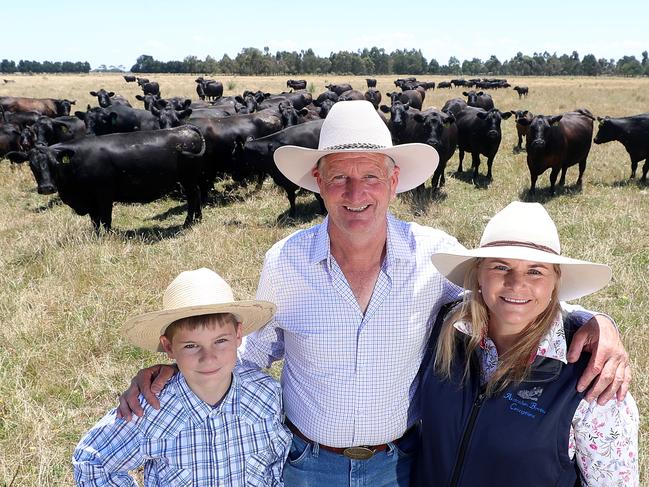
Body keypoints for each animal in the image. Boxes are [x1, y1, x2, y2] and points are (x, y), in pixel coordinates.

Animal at [5, 126, 205, 233]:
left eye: (55, 163)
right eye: (31, 165)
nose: (46, 187)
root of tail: (186, 128)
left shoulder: (104, 195)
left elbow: (105, 219)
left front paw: (107, 236)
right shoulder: (90, 200)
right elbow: (95, 221)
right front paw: (97, 236)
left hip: (188, 179)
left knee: (193, 197)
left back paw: (188, 223)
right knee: (196, 196)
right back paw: (196, 220)